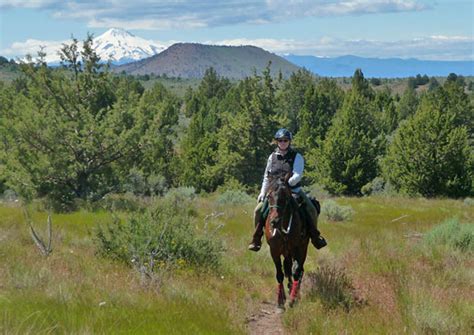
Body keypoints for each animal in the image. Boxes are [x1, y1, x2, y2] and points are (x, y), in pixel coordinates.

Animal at [264, 177, 310, 308]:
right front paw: (280, 300)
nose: (274, 221)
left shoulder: (299, 248)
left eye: (285, 196)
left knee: (297, 270)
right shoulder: (274, 251)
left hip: (298, 249)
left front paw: (293, 299)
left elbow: (296, 271)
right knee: (288, 269)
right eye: (269, 196)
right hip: (286, 252)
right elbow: (280, 273)